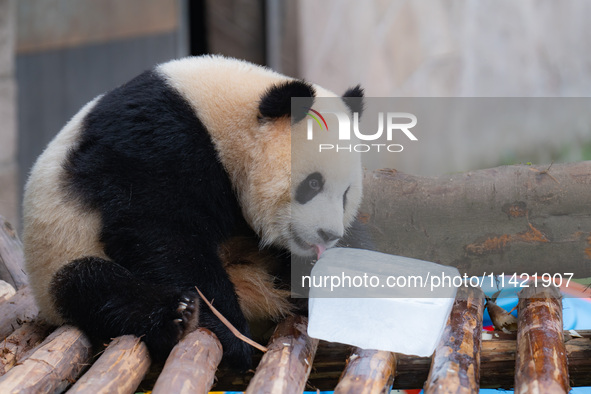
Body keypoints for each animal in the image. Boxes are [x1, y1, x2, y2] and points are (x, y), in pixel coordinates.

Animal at [23, 53, 364, 368]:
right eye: (313, 184)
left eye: (346, 194)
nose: (328, 234)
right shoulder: (158, 140)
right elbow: (161, 232)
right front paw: (230, 333)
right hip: (60, 255)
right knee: (93, 287)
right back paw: (175, 317)